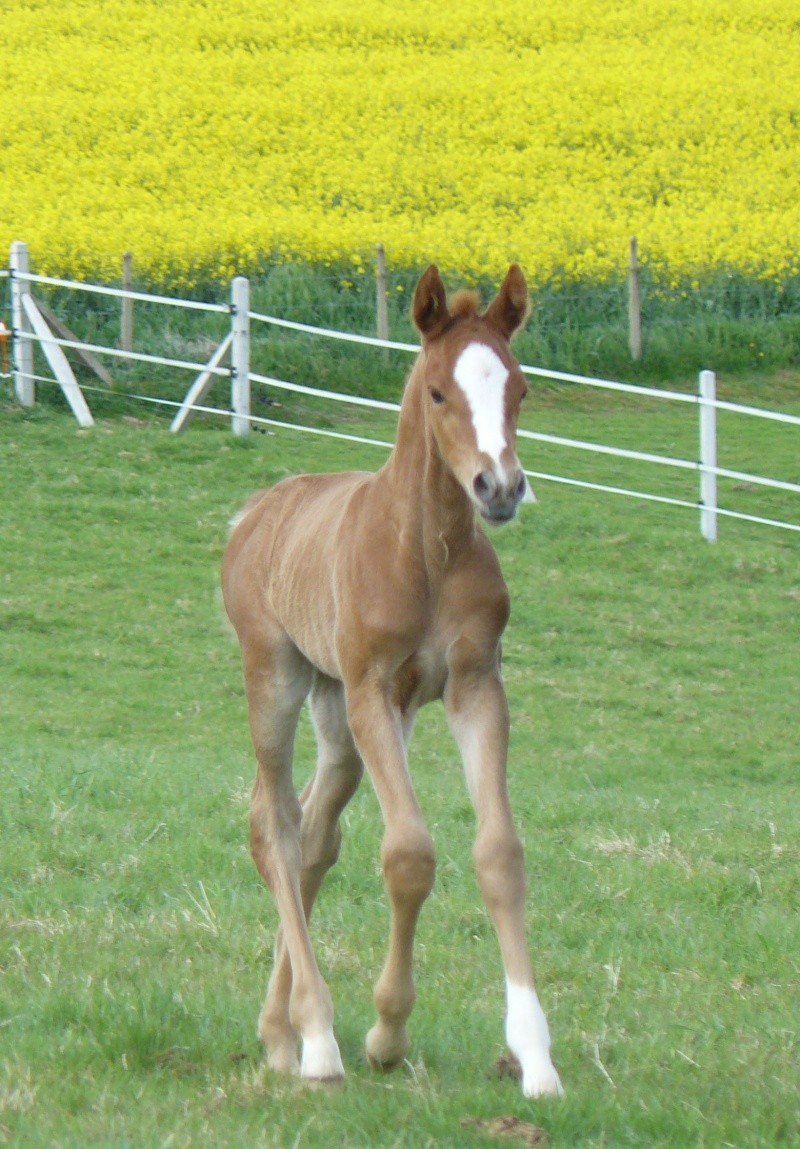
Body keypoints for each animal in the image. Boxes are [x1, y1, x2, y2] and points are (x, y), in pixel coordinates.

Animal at [221, 264, 563, 1098]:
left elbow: (499, 853)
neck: (426, 549)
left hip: (336, 711)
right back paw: (317, 1040)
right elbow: (409, 853)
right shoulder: (376, 687)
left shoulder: (474, 686)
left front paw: (536, 1055)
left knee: (314, 833)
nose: (499, 486)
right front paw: (385, 1033)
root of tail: (255, 513)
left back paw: (280, 1032)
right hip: (277, 677)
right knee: (273, 825)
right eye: (438, 391)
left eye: (520, 388)